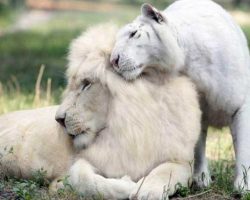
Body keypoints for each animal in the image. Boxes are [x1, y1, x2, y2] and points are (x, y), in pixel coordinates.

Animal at [0, 24, 200, 199]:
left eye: (86, 84)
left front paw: (147, 191)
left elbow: (163, 173)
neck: (129, 128)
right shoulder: (78, 167)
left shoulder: (181, 161)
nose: (58, 119)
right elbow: (84, 180)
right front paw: (129, 185)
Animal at [110, 0, 250, 191]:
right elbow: (198, 147)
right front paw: (201, 179)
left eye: (133, 34)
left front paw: (243, 186)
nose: (113, 61)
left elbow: (243, 148)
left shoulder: (240, 106)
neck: (188, 62)